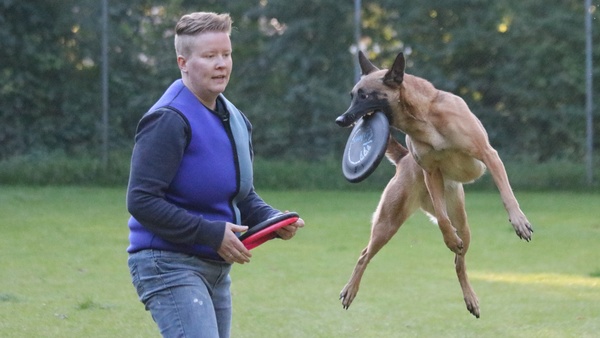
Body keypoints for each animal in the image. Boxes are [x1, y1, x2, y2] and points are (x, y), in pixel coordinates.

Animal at [338, 51, 536, 318]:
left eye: (365, 95)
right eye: (352, 95)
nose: (340, 120)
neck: (423, 118)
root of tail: (403, 160)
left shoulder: (489, 155)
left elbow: (507, 194)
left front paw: (518, 221)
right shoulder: (431, 174)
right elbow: (442, 220)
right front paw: (449, 239)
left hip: (463, 223)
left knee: (459, 263)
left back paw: (470, 298)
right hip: (388, 222)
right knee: (364, 255)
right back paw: (350, 290)